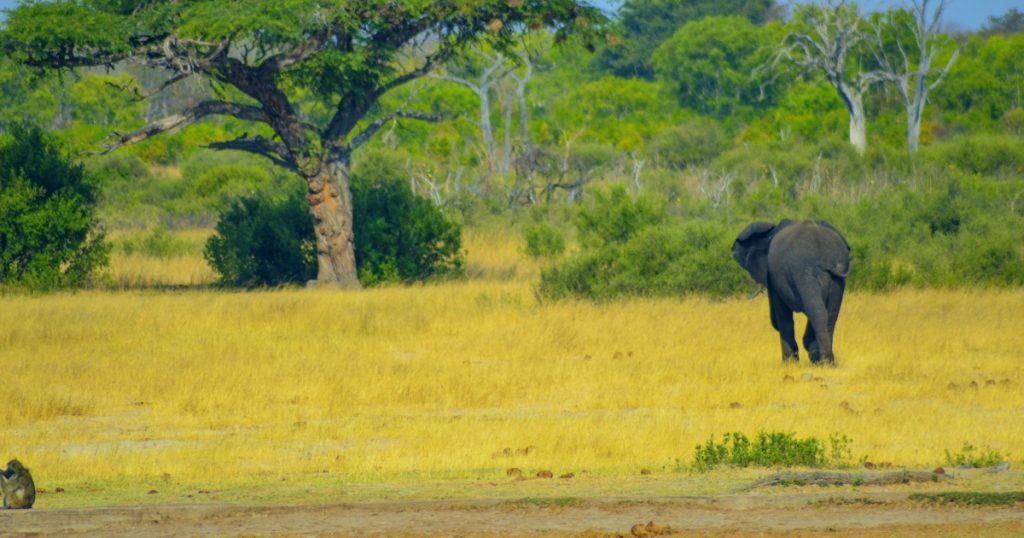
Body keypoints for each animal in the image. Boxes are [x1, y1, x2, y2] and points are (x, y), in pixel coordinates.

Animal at [733, 218, 851, 364]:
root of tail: (827, 258)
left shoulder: (773, 276)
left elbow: (782, 315)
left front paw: (790, 363)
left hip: (804, 273)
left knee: (817, 311)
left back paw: (823, 361)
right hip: (836, 280)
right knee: (830, 315)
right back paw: (828, 362)